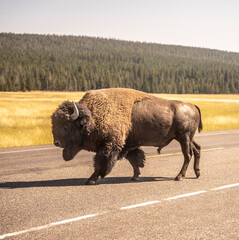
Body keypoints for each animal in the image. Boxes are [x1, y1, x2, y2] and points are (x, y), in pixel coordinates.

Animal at [51, 88, 203, 184]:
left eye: (66, 126)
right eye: (54, 123)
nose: (56, 142)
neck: (92, 117)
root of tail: (193, 105)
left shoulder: (109, 146)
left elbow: (100, 163)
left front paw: (91, 180)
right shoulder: (128, 144)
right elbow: (134, 159)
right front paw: (135, 176)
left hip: (184, 137)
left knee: (187, 154)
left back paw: (179, 176)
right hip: (188, 138)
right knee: (197, 149)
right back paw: (197, 173)